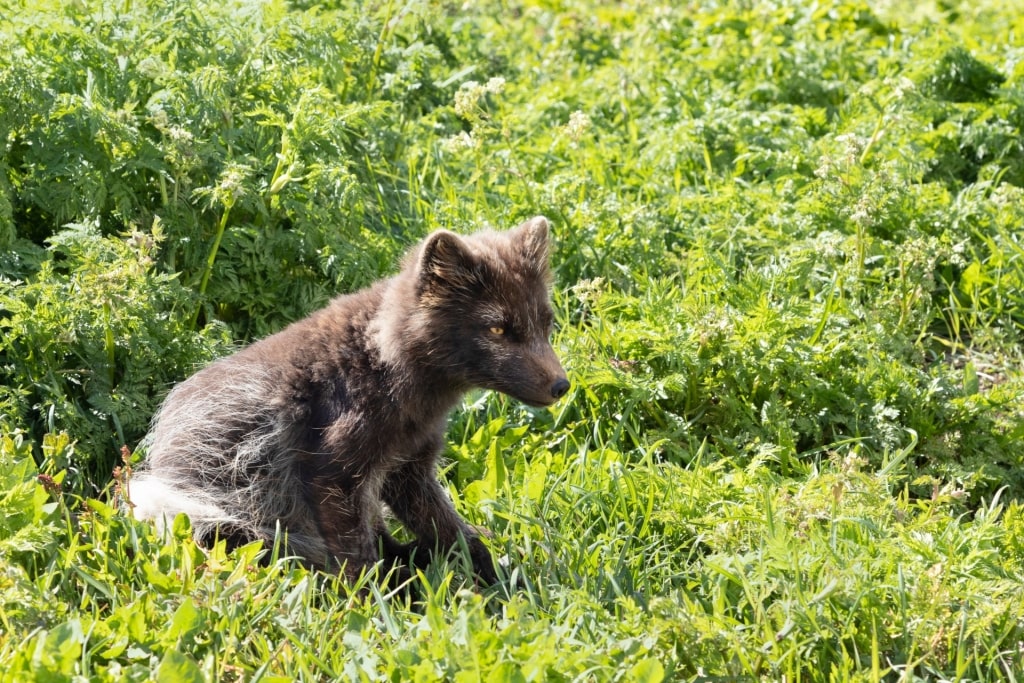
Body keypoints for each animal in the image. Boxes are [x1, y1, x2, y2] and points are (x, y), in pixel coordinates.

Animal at [128, 218, 569, 581]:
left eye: (546, 322)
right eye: (497, 330)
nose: (562, 386)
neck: (380, 359)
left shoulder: (408, 469)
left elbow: (451, 530)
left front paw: (493, 576)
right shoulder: (333, 476)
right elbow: (357, 561)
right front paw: (375, 607)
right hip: (217, 514)